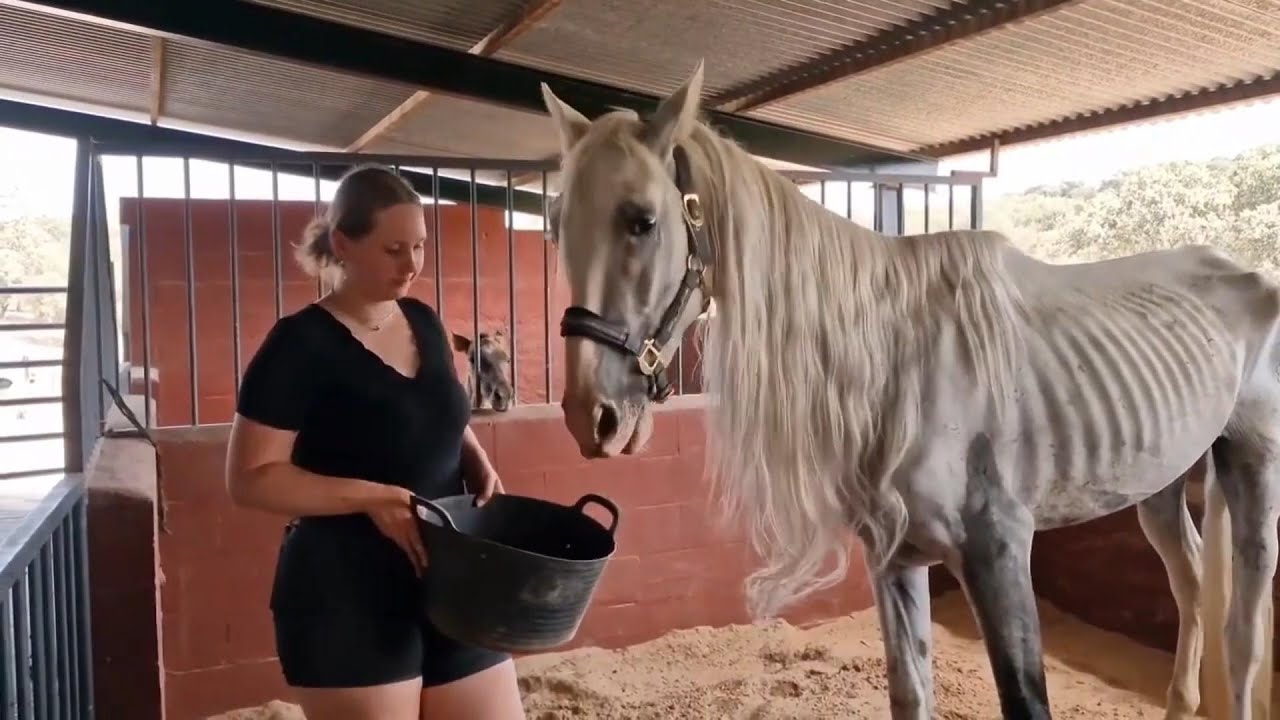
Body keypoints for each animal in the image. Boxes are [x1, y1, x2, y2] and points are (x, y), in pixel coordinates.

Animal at [539, 60, 1280, 719]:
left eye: (642, 219)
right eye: (556, 224)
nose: (591, 417)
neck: (903, 360)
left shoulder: (999, 552)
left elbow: (1026, 700)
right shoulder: (895, 557)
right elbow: (911, 696)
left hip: (1252, 467)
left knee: (1243, 636)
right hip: (1160, 483)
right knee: (1190, 585)